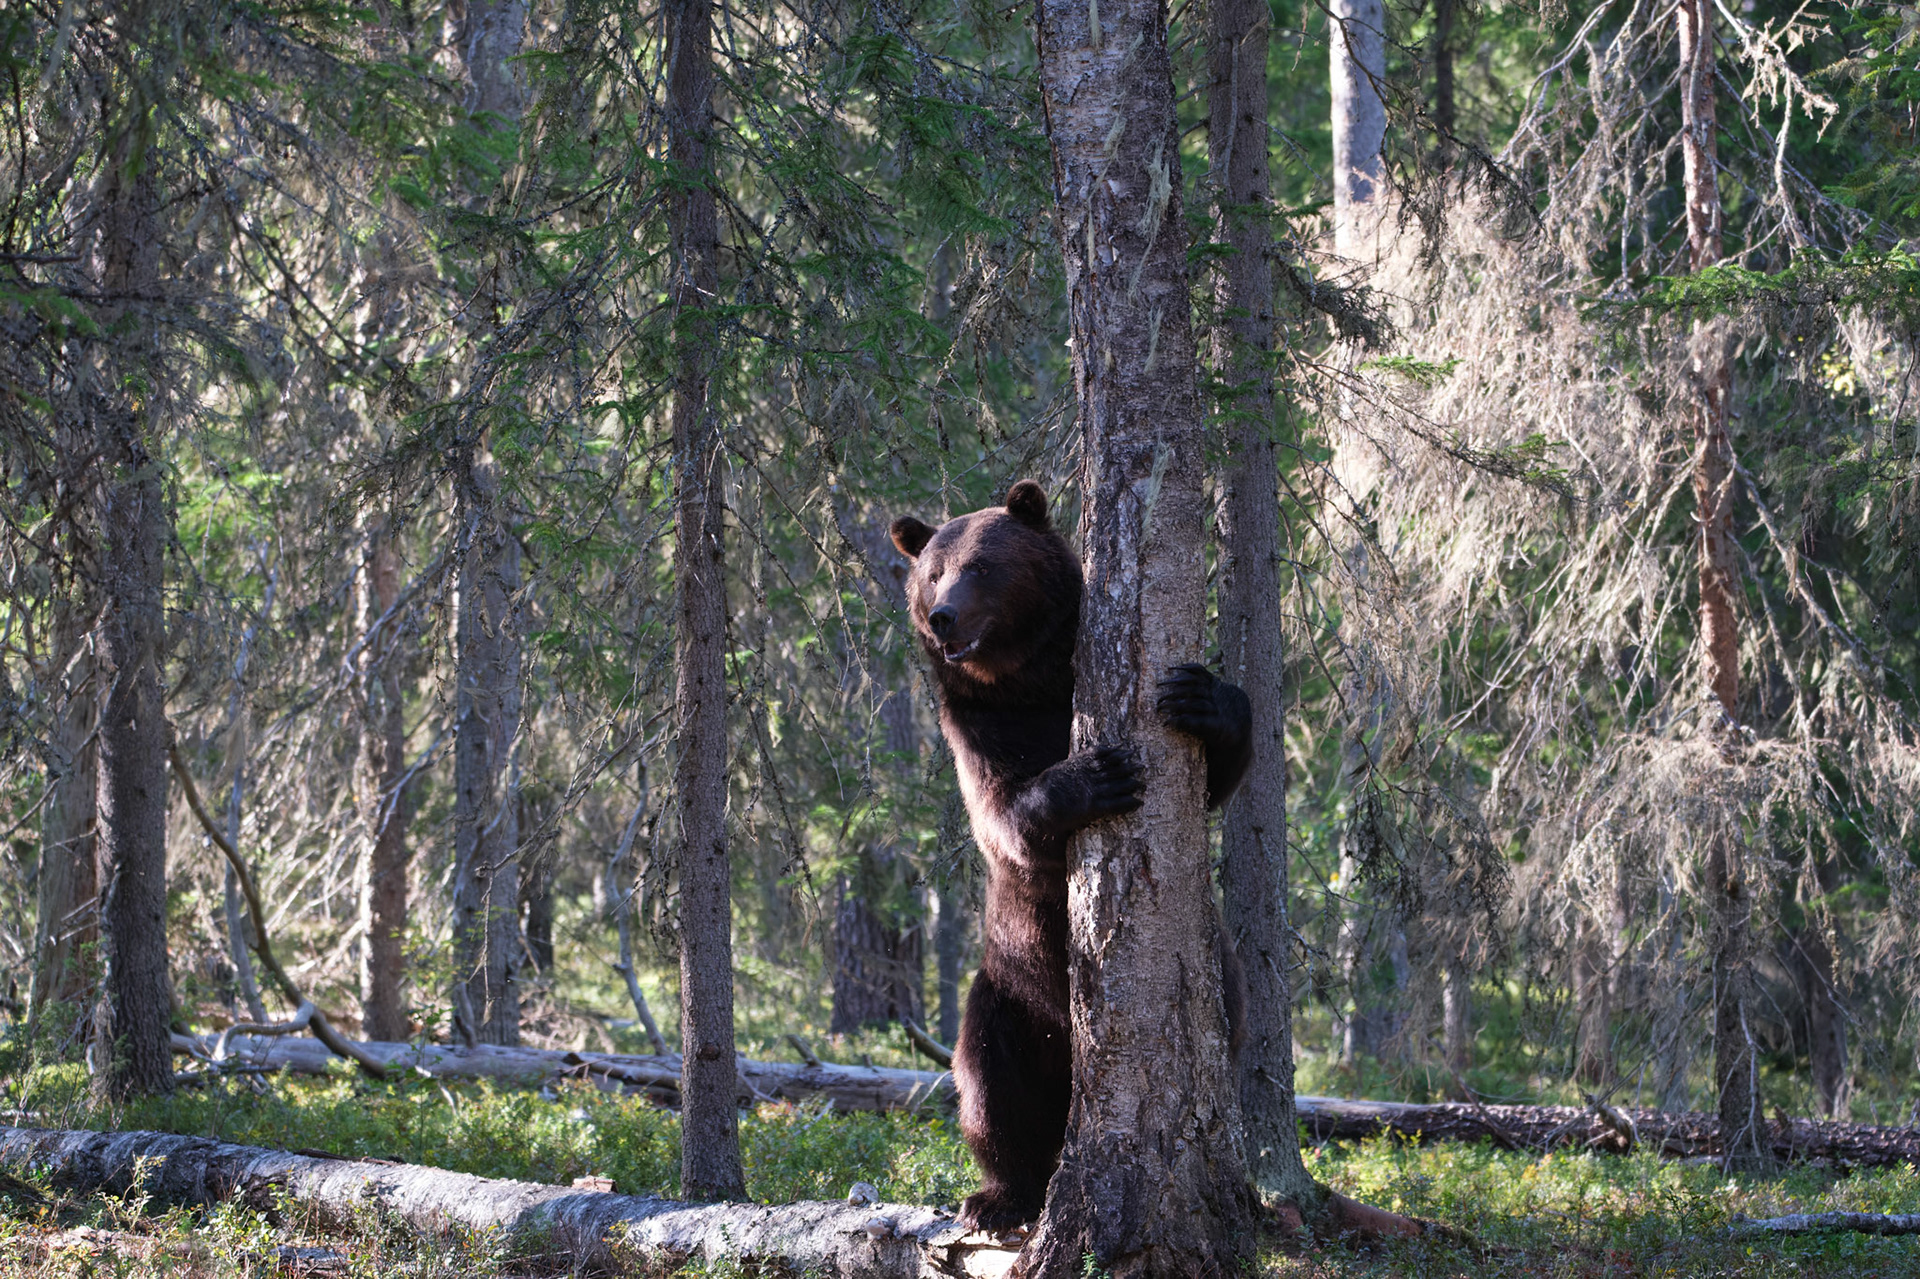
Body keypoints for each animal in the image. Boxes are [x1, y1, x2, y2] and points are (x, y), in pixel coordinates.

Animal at [889, 478, 1252, 1233]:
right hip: (1010, 988)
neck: (1031, 682)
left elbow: (1217, 775)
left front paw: (1202, 696)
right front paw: (1093, 776)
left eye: (981, 567)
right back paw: (999, 1196)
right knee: (989, 1085)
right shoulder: (976, 730)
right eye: (933, 571)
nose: (942, 616)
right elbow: (1005, 817)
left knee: (1230, 1034)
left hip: (1216, 967)